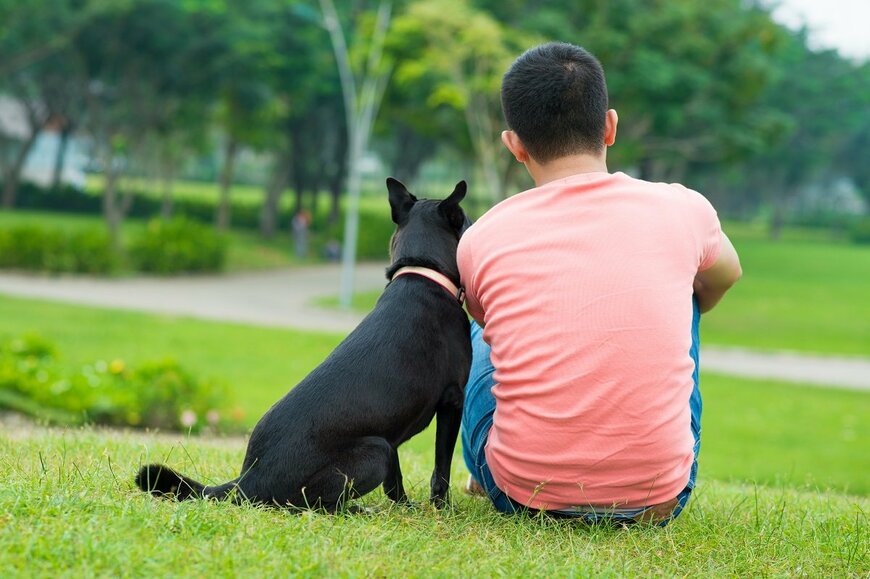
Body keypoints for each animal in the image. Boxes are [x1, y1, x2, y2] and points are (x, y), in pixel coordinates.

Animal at [136, 179, 474, 516]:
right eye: (464, 219)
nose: (475, 224)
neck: (421, 270)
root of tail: (246, 481)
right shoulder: (452, 399)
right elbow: (440, 469)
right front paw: (441, 508)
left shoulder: (396, 433)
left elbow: (396, 482)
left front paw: (405, 507)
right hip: (376, 450)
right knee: (313, 506)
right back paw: (355, 509)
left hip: (383, 446)